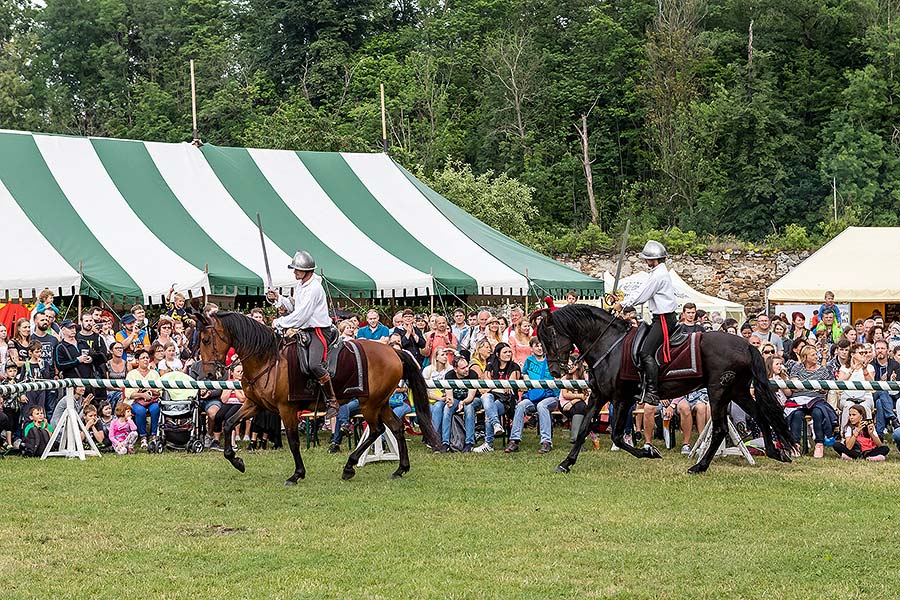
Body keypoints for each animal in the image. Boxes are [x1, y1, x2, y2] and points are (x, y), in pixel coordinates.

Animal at [193, 312, 440, 486]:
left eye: (205, 340)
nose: (208, 375)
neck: (268, 360)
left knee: (377, 429)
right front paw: (237, 461)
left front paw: (296, 474)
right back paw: (400, 469)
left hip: (369, 404)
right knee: (396, 428)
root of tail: (393, 352)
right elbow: (228, 423)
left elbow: (293, 441)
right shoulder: (254, 404)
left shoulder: (286, 409)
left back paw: (349, 466)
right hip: (380, 403)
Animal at [536, 308, 796, 476]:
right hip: (737, 391)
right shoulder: (599, 396)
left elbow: (617, 436)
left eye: (549, 337)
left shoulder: (620, 398)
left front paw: (650, 453)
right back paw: (776, 452)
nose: (555, 370)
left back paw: (698, 467)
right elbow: (583, 429)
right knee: (761, 415)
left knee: (721, 428)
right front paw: (566, 463)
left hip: (719, 392)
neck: (609, 345)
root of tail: (746, 345)